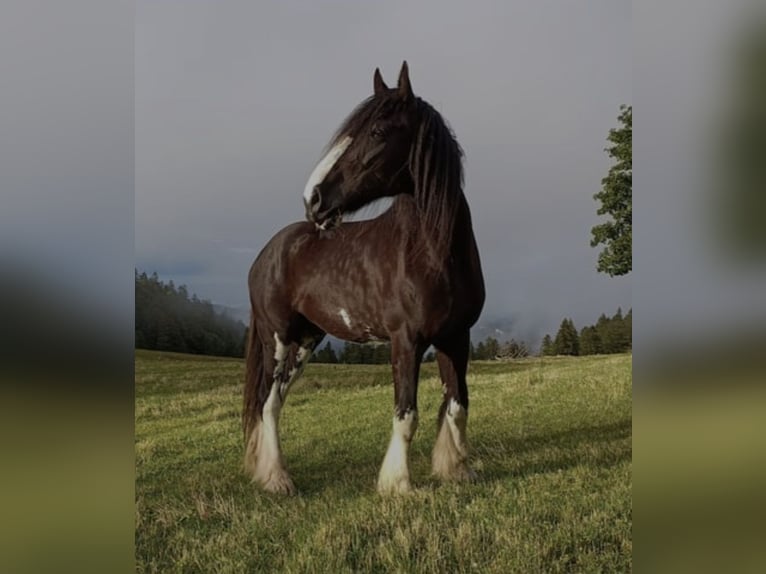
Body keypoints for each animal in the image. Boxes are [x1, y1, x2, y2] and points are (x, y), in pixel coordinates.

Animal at [243, 61, 485, 494]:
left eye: (377, 132)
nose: (313, 199)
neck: (433, 253)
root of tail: (267, 253)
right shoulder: (406, 341)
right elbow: (406, 415)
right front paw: (398, 485)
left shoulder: (457, 338)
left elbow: (458, 406)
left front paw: (457, 471)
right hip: (278, 338)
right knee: (268, 403)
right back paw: (277, 479)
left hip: (307, 340)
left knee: (277, 400)